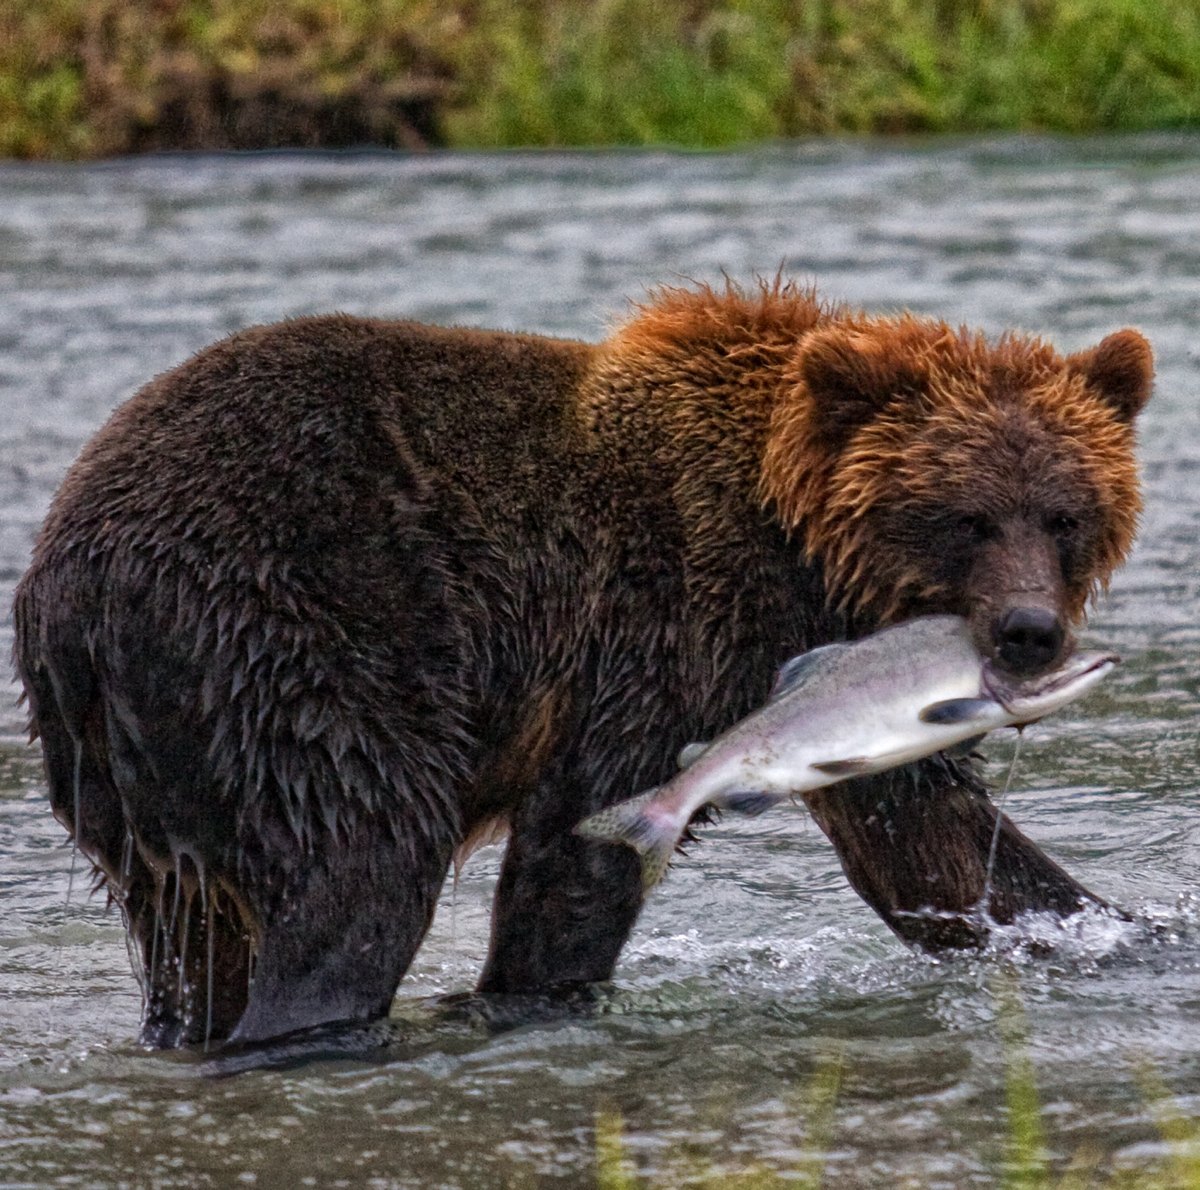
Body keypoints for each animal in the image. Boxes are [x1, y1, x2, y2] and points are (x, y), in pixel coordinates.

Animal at [11, 283, 1152, 1046]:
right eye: (964, 516)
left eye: (1065, 513)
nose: (1028, 631)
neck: (801, 548)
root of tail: (64, 575)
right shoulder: (658, 624)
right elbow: (576, 838)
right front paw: (536, 992)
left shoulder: (827, 692)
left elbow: (937, 846)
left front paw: (1114, 933)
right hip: (290, 636)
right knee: (357, 863)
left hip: (140, 771)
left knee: (197, 943)